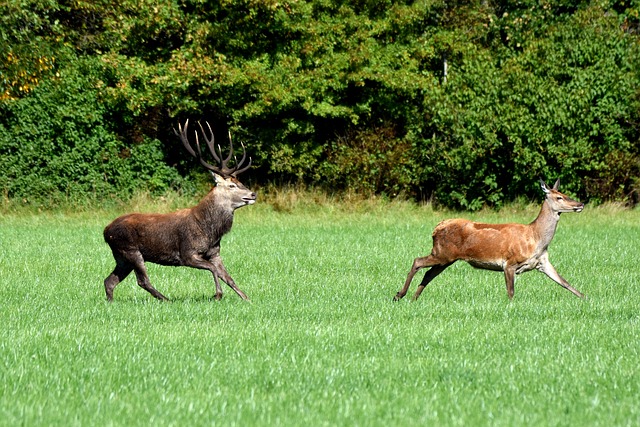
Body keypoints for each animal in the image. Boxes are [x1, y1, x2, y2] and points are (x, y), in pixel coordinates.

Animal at [103, 119, 256, 302]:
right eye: (232, 185)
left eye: (240, 182)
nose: (253, 194)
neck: (209, 229)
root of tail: (105, 231)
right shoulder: (187, 254)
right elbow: (212, 269)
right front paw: (217, 294)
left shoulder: (214, 252)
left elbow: (228, 277)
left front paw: (247, 298)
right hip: (130, 249)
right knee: (142, 280)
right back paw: (166, 299)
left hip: (121, 256)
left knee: (109, 281)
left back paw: (111, 302)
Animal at [394, 179, 585, 302]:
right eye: (559, 197)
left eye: (564, 193)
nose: (580, 204)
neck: (536, 238)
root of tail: (437, 227)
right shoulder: (509, 263)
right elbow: (511, 292)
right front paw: (511, 307)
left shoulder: (542, 262)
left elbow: (565, 283)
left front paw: (586, 298)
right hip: (442, 253)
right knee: (417, 261)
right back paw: (399, 295)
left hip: (446, 258)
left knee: (428, 273)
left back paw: (413, 299)